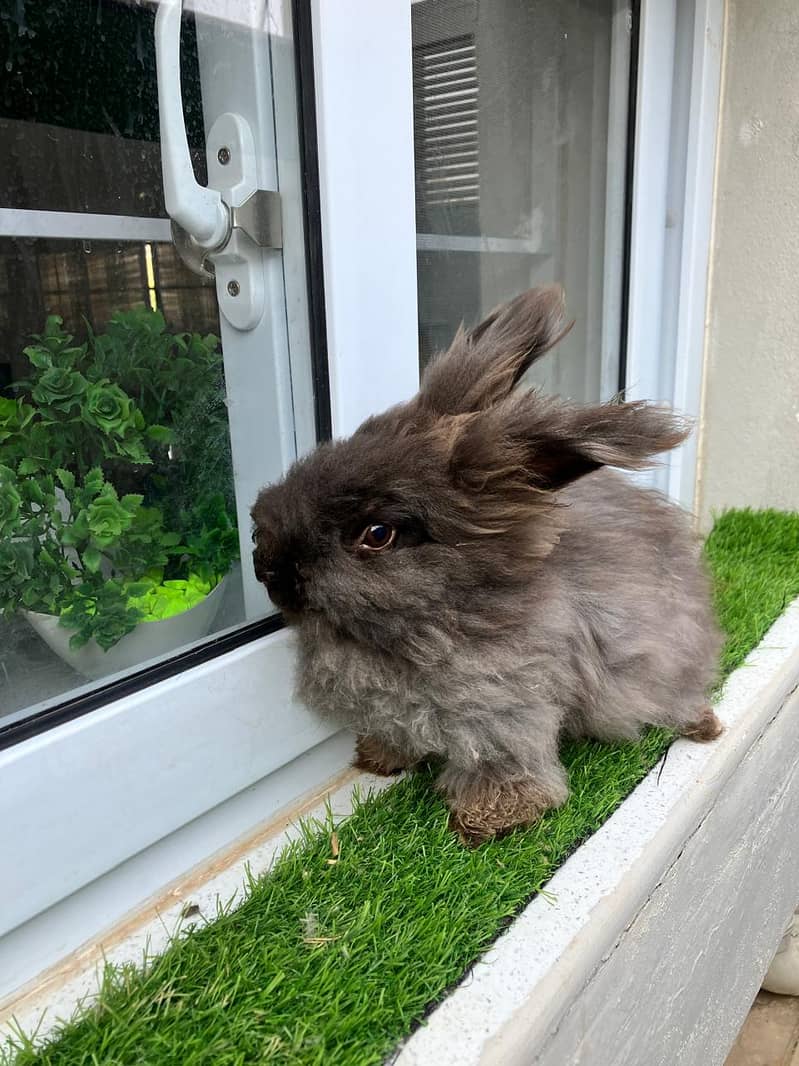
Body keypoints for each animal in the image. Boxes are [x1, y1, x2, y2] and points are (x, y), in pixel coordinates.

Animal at [251, 287, 724, 844]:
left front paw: (485, 821)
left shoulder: (506, 709)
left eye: (377, 535)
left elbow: (504, 764)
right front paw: (377, 758)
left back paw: (704, 725)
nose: (267, 567)